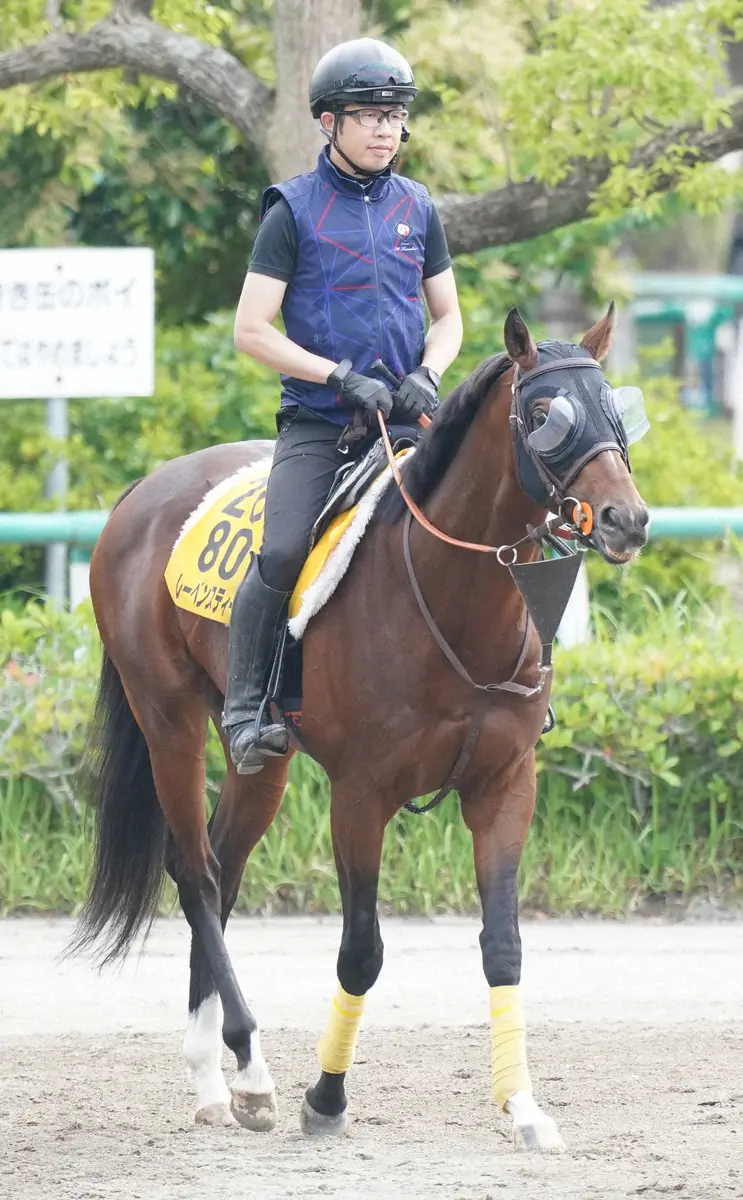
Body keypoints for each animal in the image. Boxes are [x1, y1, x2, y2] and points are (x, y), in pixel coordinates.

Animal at [72, 309, 648, 1152]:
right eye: (544, 416)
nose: (624, 519)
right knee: (196, 873)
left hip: (261, 761)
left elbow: (503, 946)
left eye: (615, 410)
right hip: (167, 720)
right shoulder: (360, 796)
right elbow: (360, 953)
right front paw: (326, 1096)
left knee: (221, 866)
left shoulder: (505, 785)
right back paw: (248, 1068)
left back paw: (213, 1077)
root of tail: (143, 492)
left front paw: (522, 1106)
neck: (449, 598)